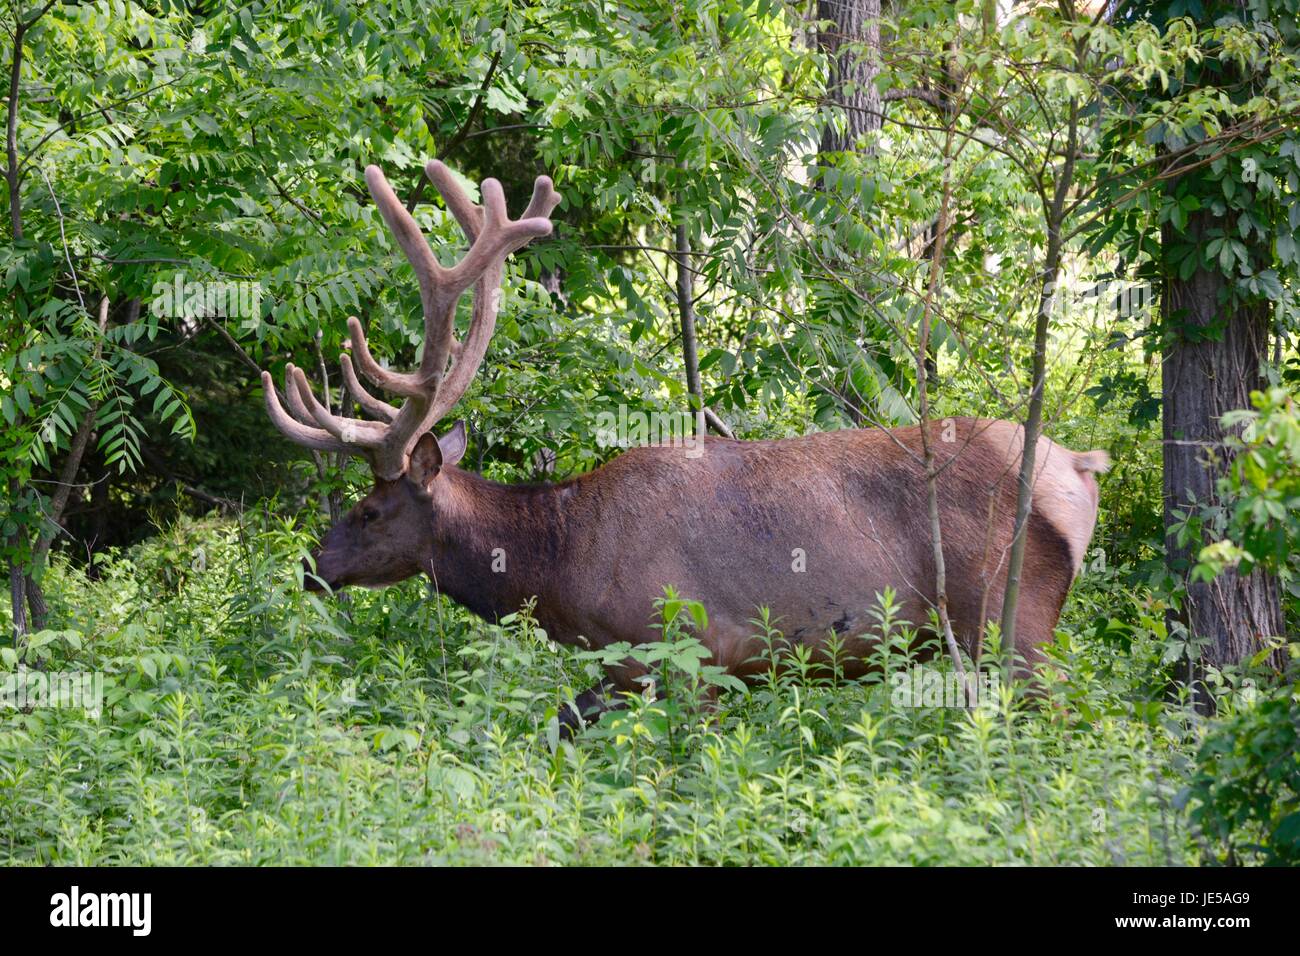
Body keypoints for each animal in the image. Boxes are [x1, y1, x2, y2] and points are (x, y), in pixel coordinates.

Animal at [261, 164, 1107, 733]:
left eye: (371, 510)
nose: (311, 566)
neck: (563, 564)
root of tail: (1080, 468)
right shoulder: (625, 668)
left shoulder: (687, 648)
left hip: (1011, 617)